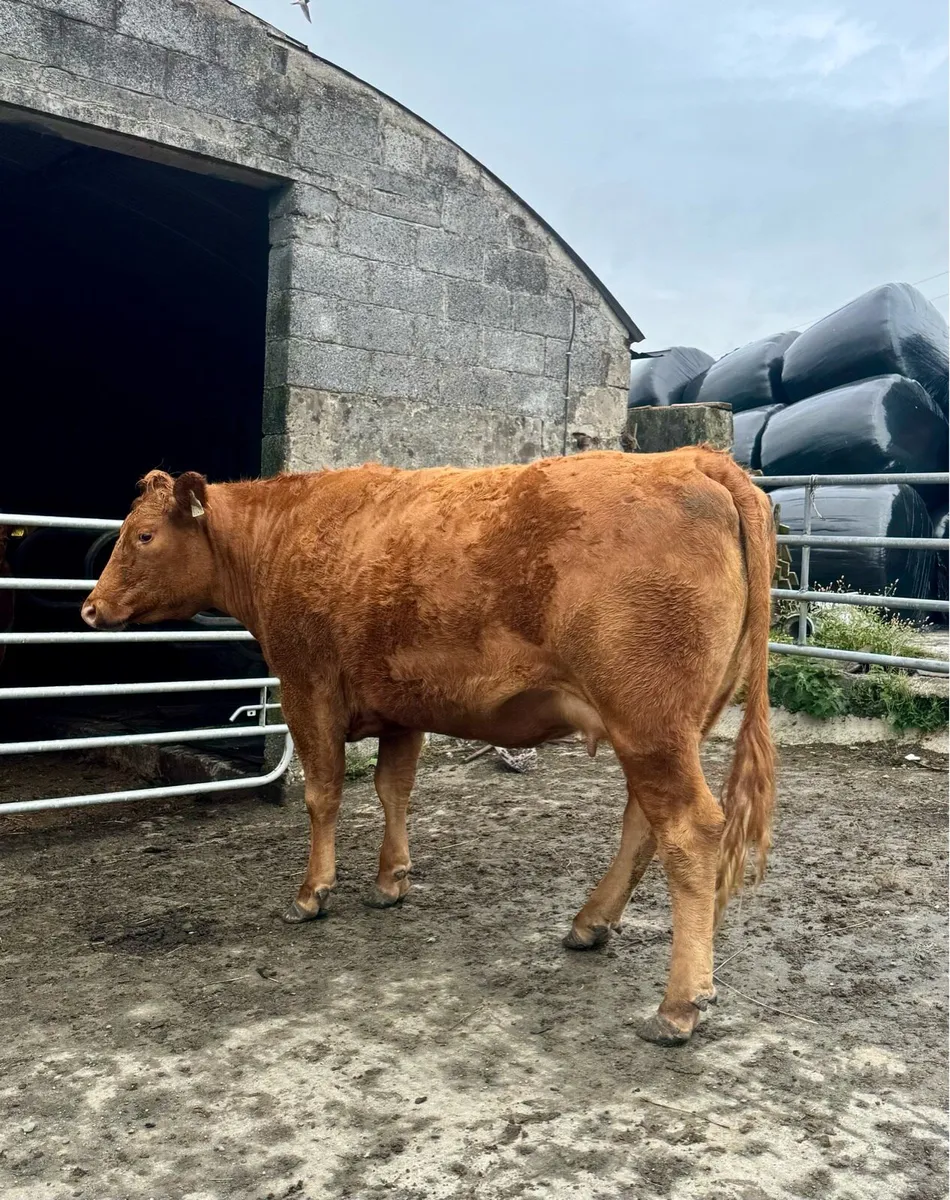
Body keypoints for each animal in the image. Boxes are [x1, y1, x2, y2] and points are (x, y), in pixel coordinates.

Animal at [82, 448, 777, 1046]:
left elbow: (323, 794)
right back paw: (592, 923)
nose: (90, 608)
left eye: (143, 536)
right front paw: (390, 880)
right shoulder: (400, 703)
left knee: (689, 829)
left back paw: (679, 1003)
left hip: (648, 721)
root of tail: (693, 459)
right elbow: (394, 789)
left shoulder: (308, 689)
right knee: (644, 823)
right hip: (665, 728)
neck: (284, 534)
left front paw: (312, 893)